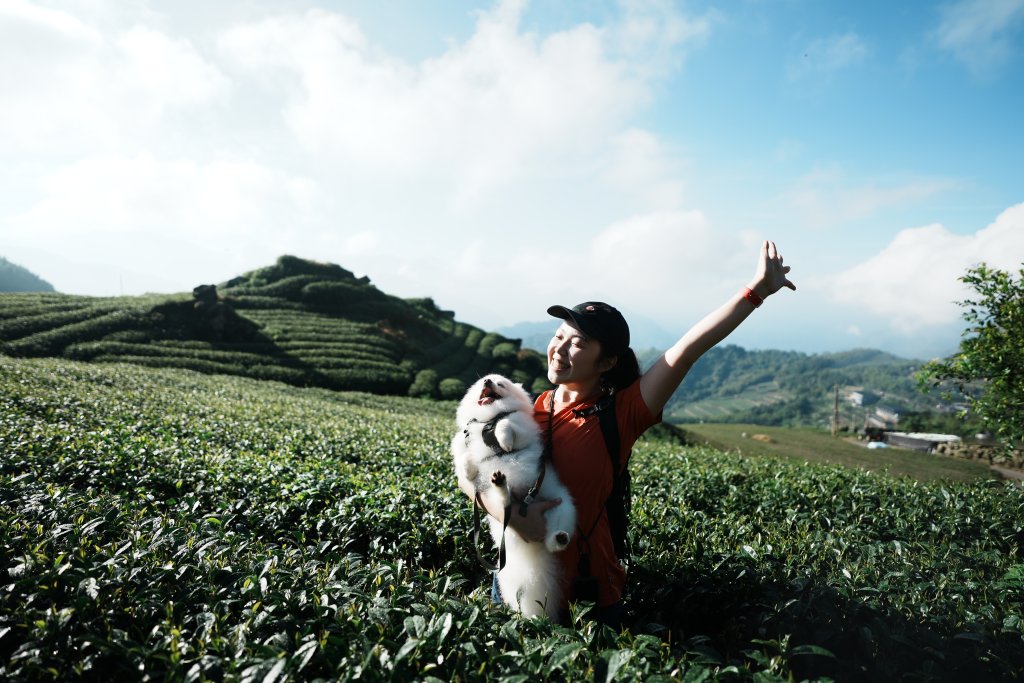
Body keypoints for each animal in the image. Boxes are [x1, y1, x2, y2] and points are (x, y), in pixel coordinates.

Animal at [454, 374, 577, 618]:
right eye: (482, 382)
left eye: (500, 384)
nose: (488, 381)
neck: (486, 421)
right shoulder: (462, 440)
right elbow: (464, 455)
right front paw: (468, 470)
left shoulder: (520, 426)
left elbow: (505, 424)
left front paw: (505, 441)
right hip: (496, 502)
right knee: (504, 500)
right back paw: (501, 484)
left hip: (563, 507)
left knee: (554, 540)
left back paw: (558, 538)